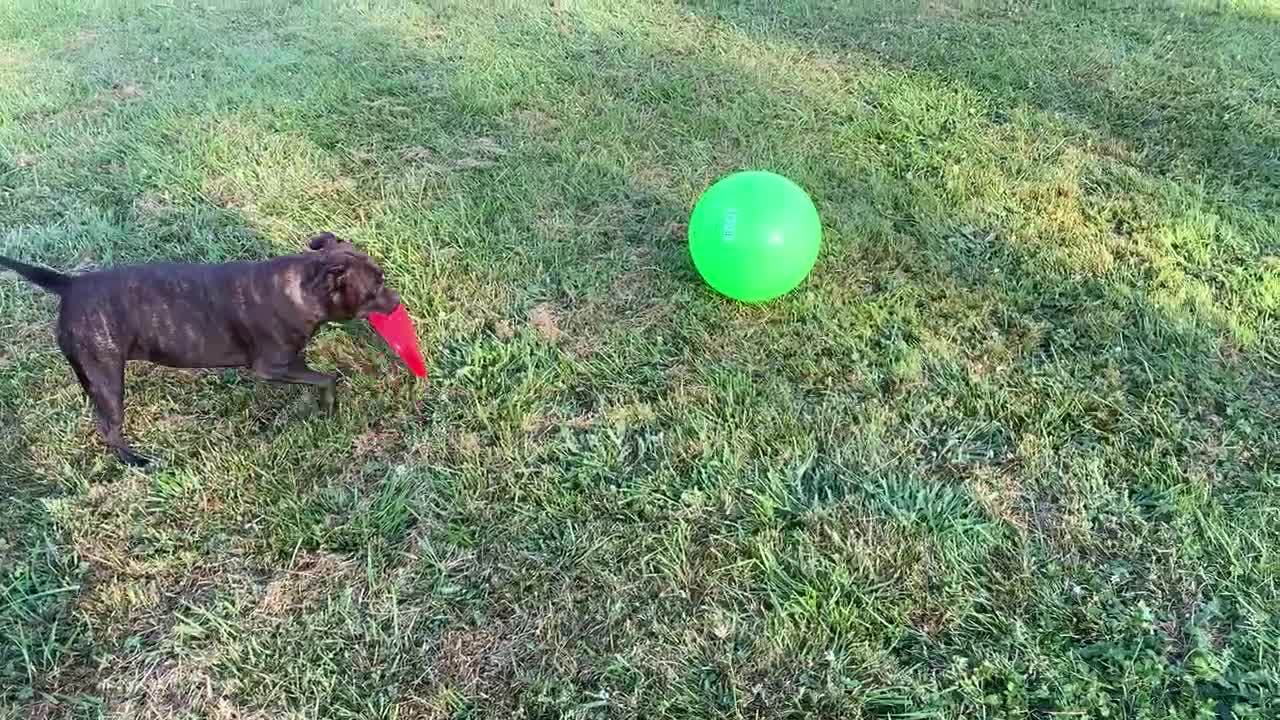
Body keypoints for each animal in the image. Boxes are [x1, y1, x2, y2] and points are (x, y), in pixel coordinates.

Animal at [0, 230, 399, 466]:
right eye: (375, 287)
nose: (397, 301)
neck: (304, 284)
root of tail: (68, 285)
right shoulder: (272, 367)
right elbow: (328, 377)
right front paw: (329, 408)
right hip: (106, 376)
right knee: (109, 428)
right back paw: (138, 462)